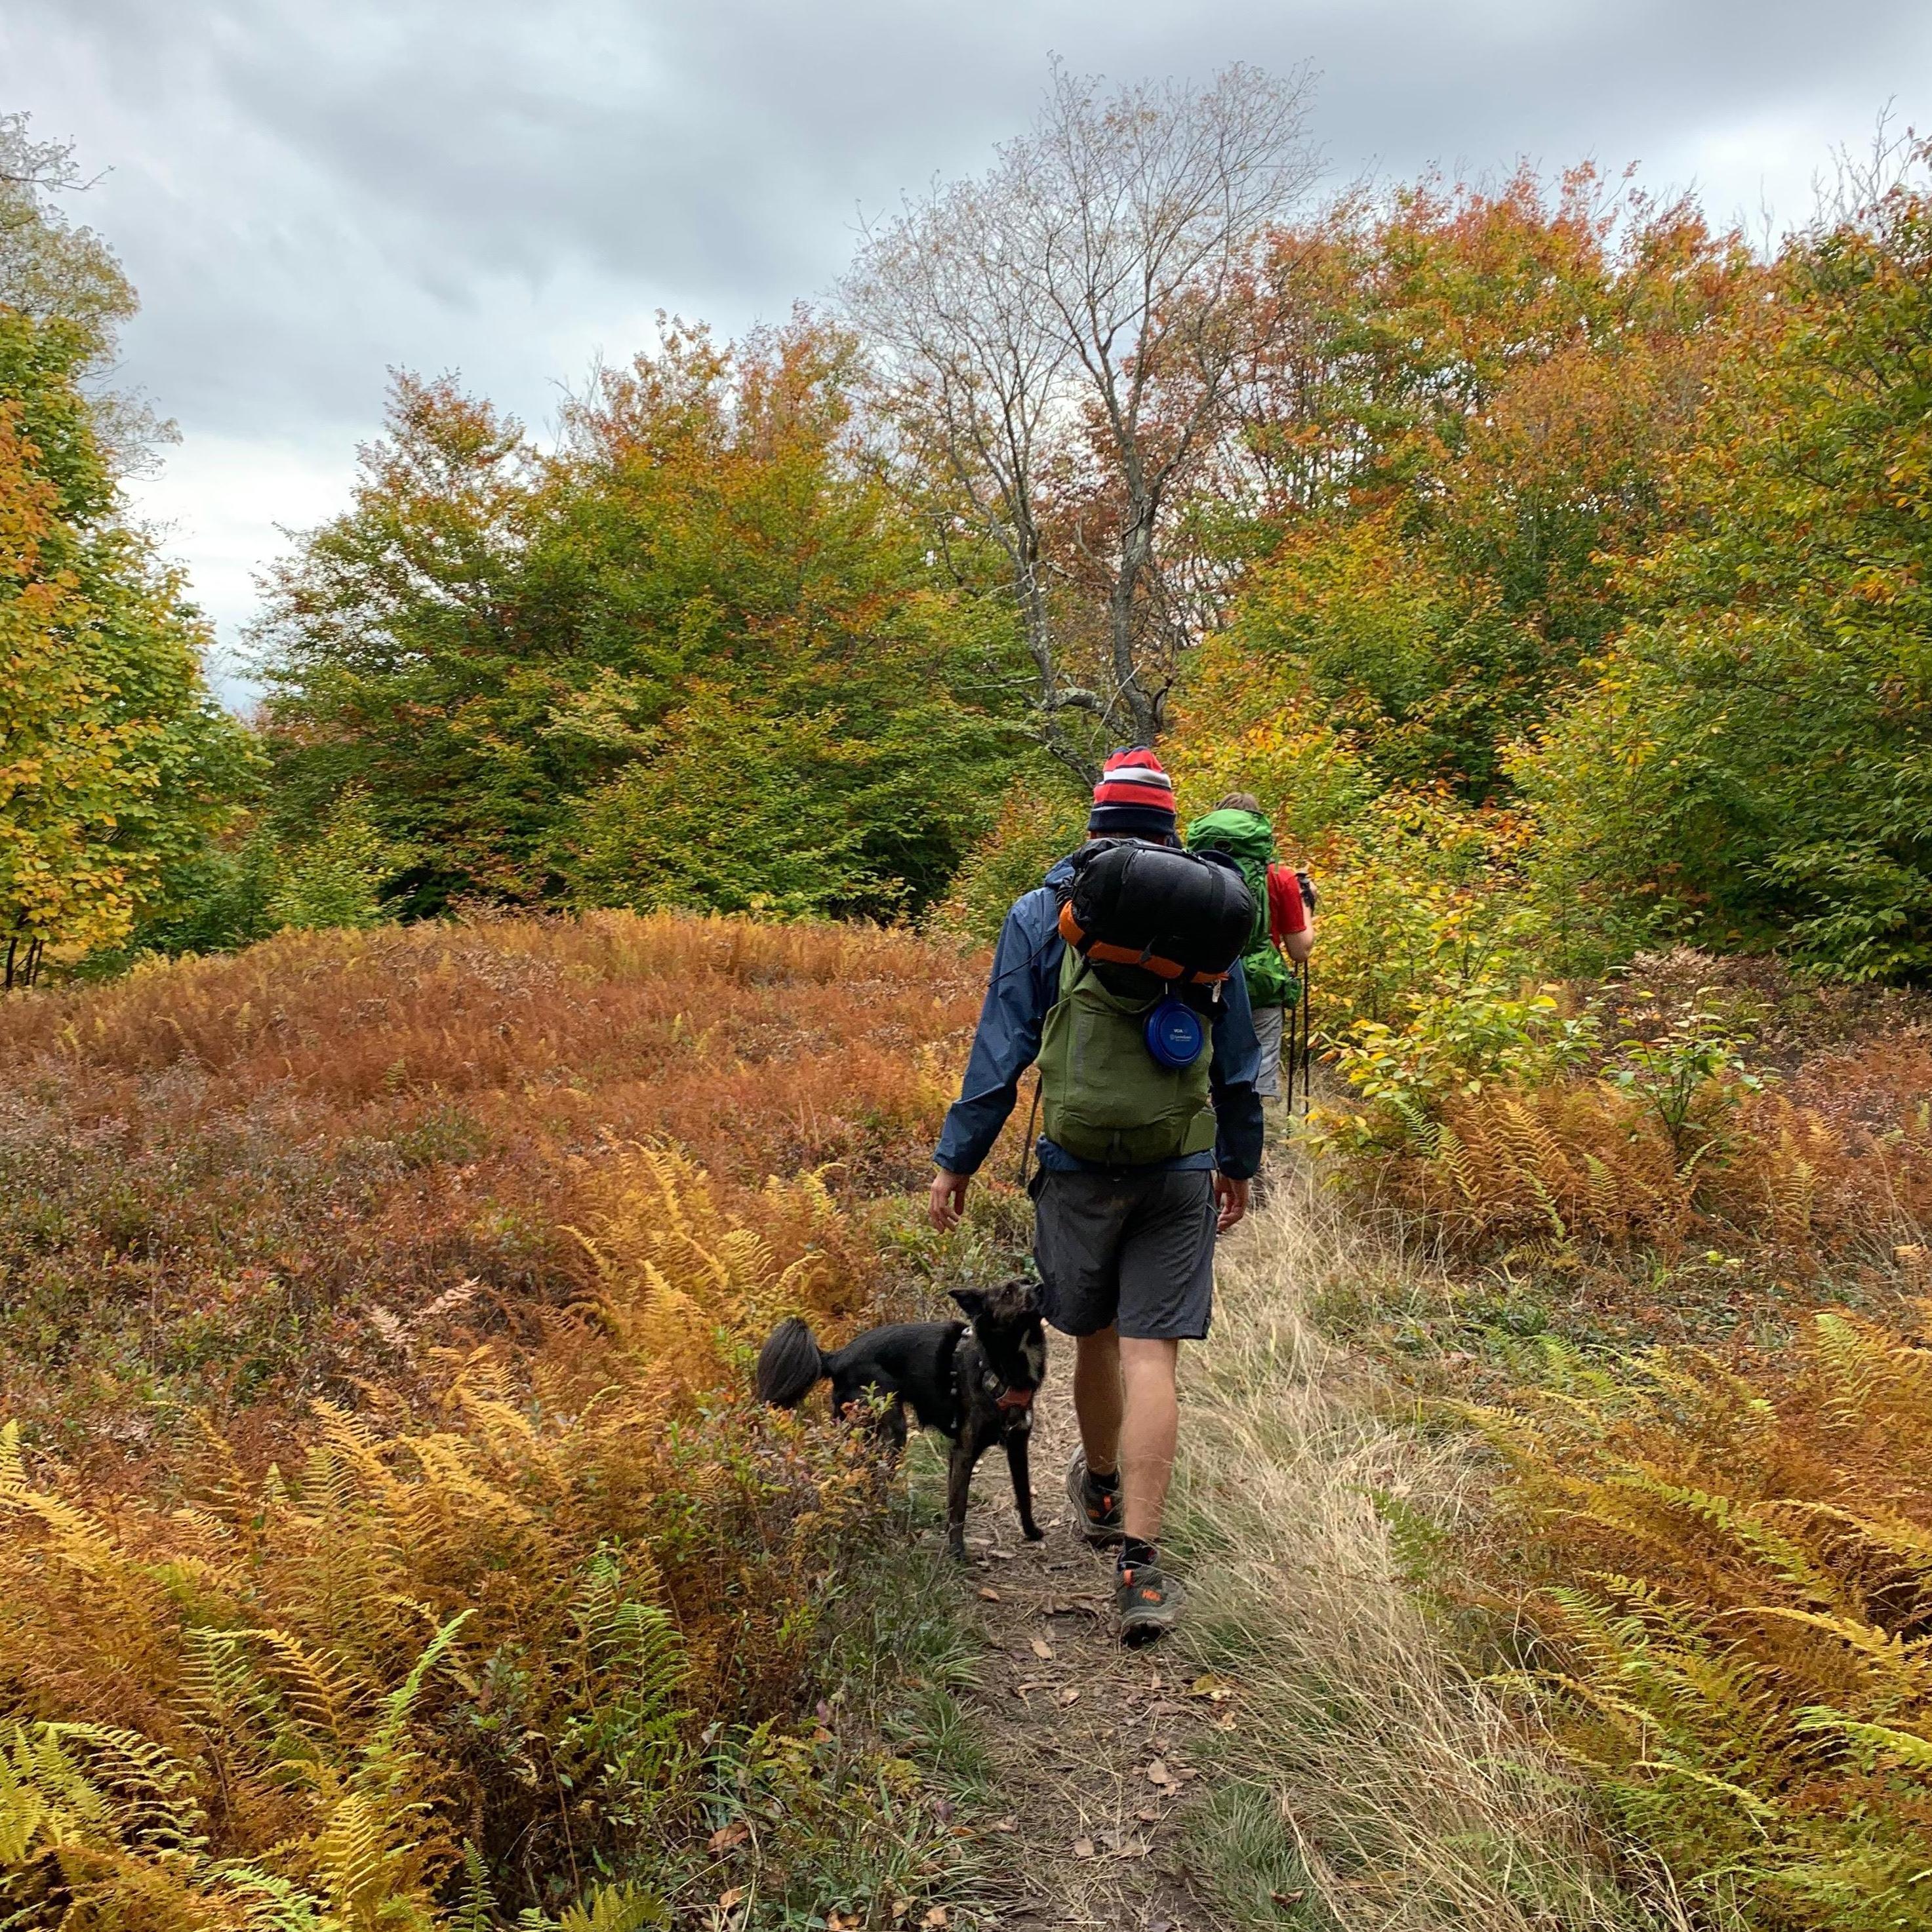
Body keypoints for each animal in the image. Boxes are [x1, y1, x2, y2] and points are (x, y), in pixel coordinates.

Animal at [750, 1283, 1051, 1553]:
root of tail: (837, 1357)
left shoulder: (1018, 1443)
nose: (1040, 1287)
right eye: (1008, 1292)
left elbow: (1023, 1493)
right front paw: (957, 1551)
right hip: (891, 1430)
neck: (1001, 1366)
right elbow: (959, 1505)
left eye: (1027, 1281)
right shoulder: (964, 1449)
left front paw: (1031, 1532)